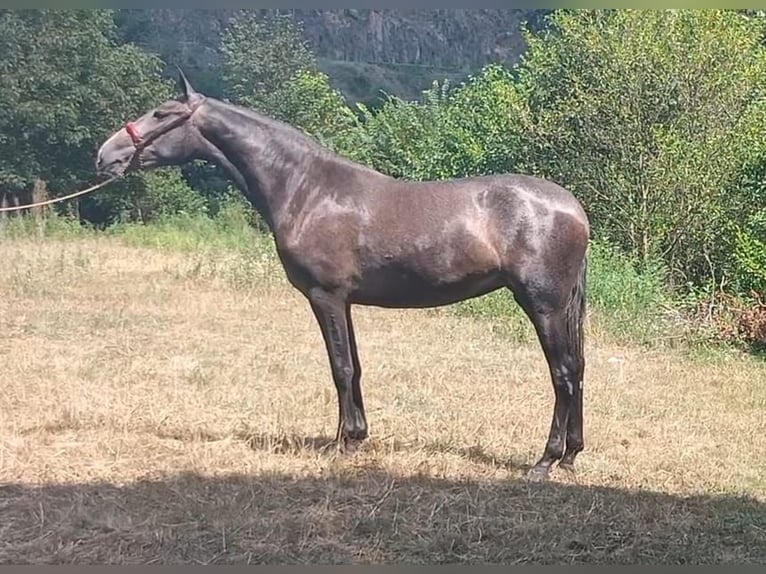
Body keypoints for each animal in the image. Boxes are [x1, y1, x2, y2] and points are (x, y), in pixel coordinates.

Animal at [94, 70, 588, 484]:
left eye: (161, 114)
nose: (105, 155)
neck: (306, 189)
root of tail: (573, 208)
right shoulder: (345, 300)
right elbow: (356, 366)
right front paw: (357, 436)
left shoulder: (324, 296)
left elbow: (340, 367)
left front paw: (340, 444)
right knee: (578, 369)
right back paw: (571, 454)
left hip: (542, 305)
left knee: (562, 372)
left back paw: (545, 461)